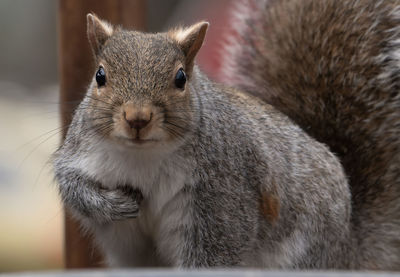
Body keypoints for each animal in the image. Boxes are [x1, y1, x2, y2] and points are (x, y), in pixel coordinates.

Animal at [52, 0, 396, 270]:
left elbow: (216, 252)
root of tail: (347, 248)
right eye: (100, 75)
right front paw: (113, 205)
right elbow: (73, 187)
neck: (142, 156)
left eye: (181, 78)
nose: (138, 118)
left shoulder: (223, 196)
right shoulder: (80, 154)